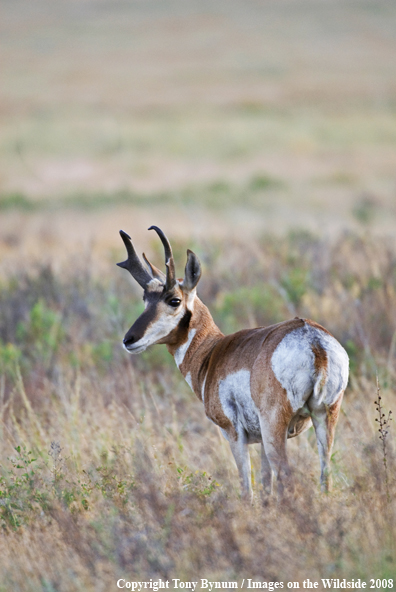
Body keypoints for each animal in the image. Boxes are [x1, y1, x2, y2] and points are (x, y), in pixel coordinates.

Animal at [117, 227, 350, 500]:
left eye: (174, 300)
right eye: (145, 298)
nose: (129, 339)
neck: (213, 351)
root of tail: (313, 340)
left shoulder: (234, 434)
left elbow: (247, 490)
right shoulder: (260, 441)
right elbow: (265, 488)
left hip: (275, 428)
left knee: (287, 479)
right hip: (325, 417)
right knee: (326, 477)